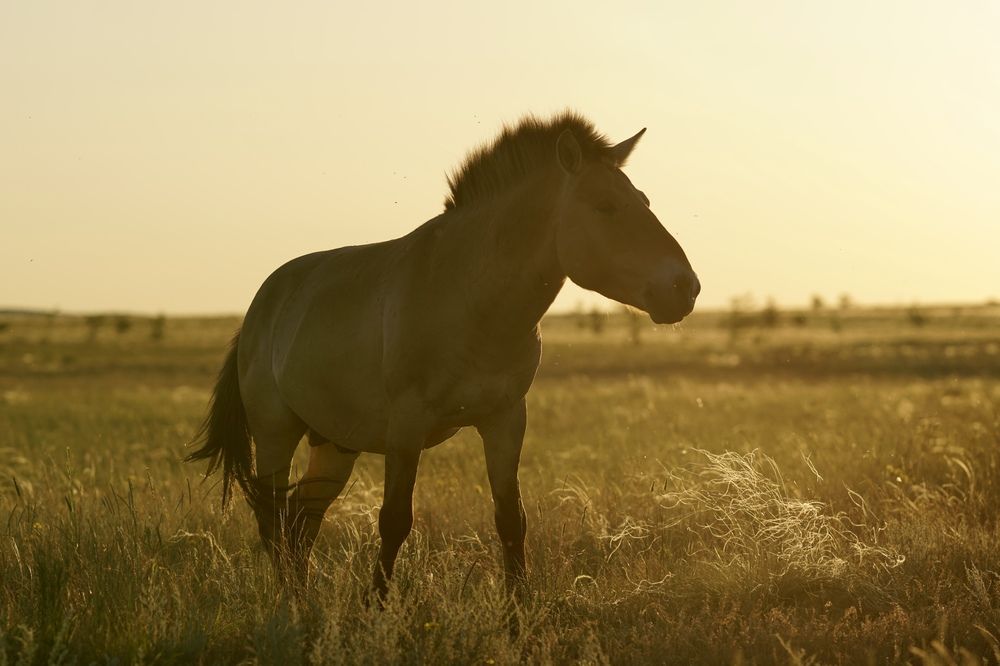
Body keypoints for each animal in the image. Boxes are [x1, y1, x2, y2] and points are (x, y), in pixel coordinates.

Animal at [186, 112, 700, 601]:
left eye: (645, 201)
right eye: (605, 207)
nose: (685, 287)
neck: (471, 298)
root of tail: (262, 304)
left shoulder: (505, 420)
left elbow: (511, 521)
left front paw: (518, 612)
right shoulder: (406, 426)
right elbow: (395, 520)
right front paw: (376, 606)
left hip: (333, 443)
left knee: (301, 522)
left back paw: (305, 601)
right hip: (276, 432)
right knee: (274, 522)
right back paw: (291, 608)